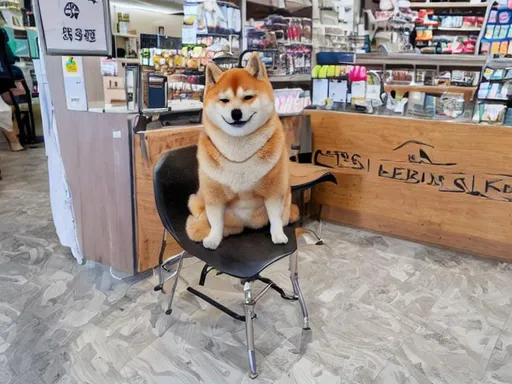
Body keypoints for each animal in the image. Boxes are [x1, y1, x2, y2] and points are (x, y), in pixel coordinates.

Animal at [187, 52, 300, 250]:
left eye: (248, 97)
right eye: (224, 100)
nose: (236, 113)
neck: (239, 150)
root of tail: (245, 226)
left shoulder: (273, 190)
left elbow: (275, 217)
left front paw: (278, 234)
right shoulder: (214, 195)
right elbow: (215, 221)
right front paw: (214, 238)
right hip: (203, 200)